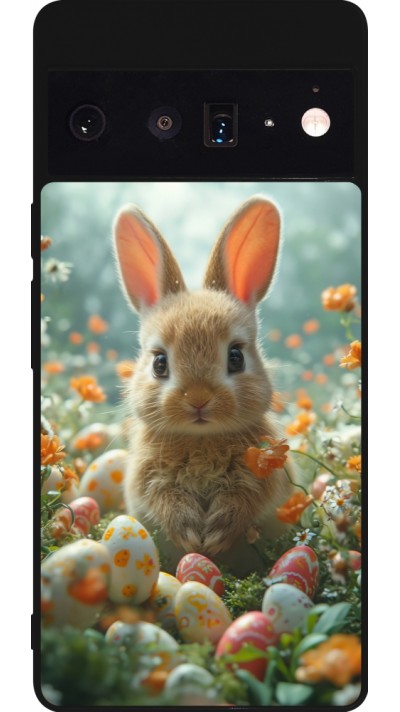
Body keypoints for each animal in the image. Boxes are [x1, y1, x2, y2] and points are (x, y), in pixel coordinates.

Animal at [113, 196, 293, 571]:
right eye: (159, 363)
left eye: (236, 357)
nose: (198, 399)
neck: (201, 438)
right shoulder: (147, 478)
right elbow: (165, 500)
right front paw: (191, 535)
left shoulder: (263, 475)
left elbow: (244, 500)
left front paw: (216, 535)